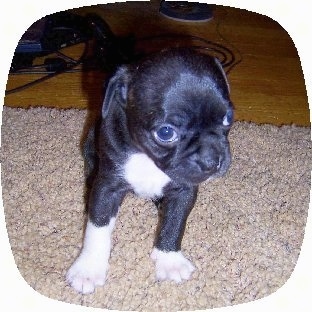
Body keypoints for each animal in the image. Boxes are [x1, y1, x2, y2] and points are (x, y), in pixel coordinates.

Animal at [67, 47, 234, 294]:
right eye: (166, 132)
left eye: (228, 117)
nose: (212, 161)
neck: (146, 157)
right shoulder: (107, 188)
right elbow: (97, 227)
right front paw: (88, 269)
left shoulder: (183, 191)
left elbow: (175, 221)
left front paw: (169, 259)